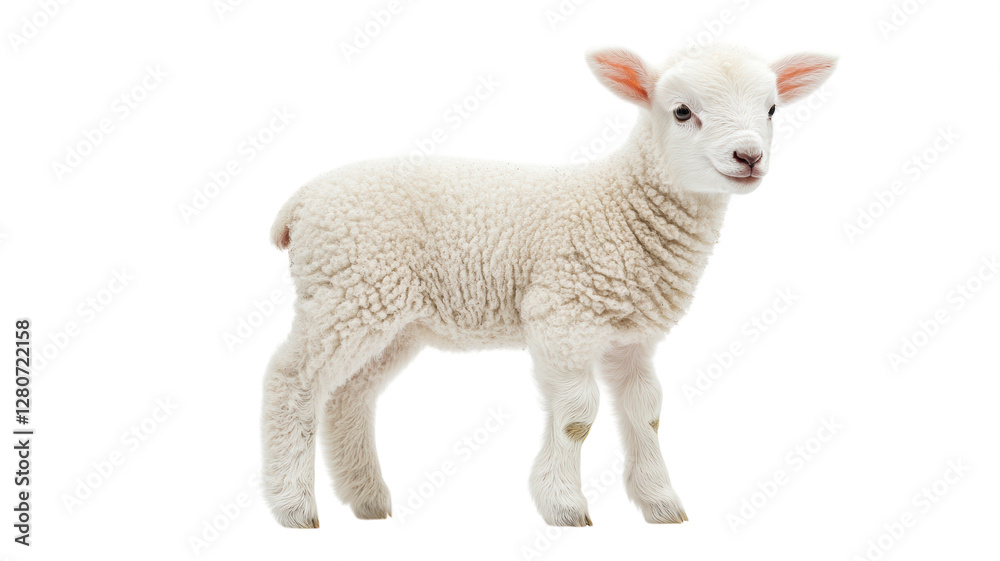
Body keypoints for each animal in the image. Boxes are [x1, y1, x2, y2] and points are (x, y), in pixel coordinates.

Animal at [262, 43, 837, 528]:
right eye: (681, 112)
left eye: (772, 110)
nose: (748, 157)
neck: (622, 204)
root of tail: (299, 202)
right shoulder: (562, 314)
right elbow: (577, 416)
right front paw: (564, 505)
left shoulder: (633, 335)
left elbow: (647, 411)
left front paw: (660, 503)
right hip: (347, 289)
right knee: (291, 380)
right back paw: (293, 507)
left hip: (390, 314)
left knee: (349, 395)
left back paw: (367, 500)